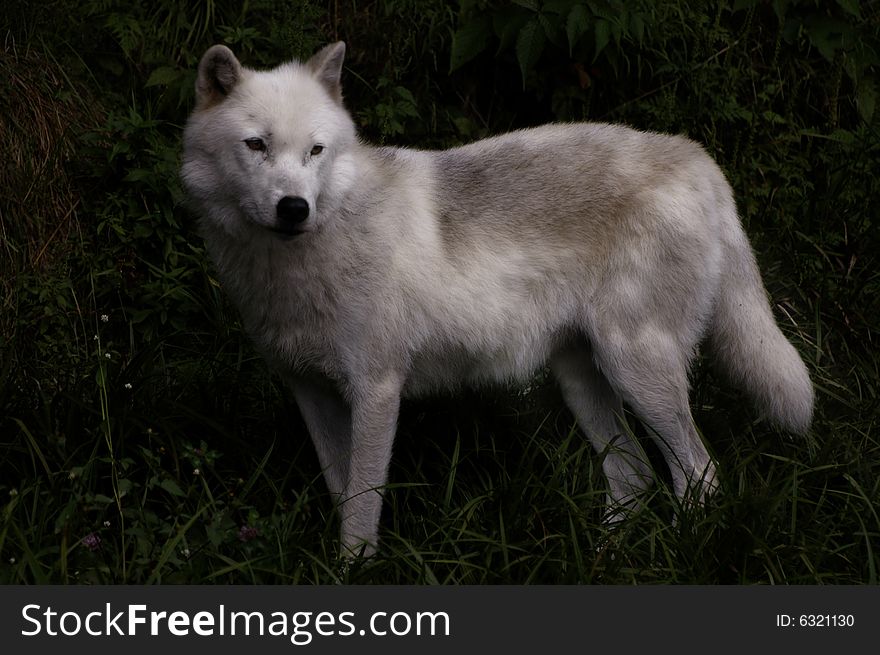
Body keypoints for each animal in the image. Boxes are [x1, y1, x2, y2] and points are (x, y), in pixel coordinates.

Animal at [182, 41, 816, 556]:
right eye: (257, 145)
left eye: (315, 151)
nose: (294, 209)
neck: (302, 263)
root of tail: (698, 157)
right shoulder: (310, 393)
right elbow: (343, 497)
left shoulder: (378, 389)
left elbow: (362, 510)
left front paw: (354, 572)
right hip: (582, 380)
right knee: (635, 481)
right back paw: (606, 560)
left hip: (637, 370)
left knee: (700, 476)